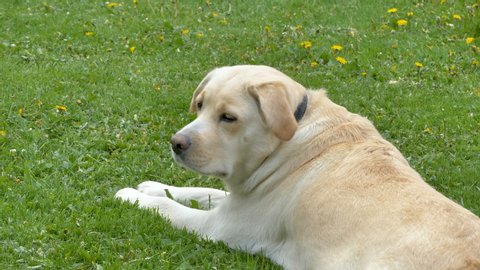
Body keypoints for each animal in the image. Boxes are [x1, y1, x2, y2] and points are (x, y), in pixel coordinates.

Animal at [116, 65, 480, 270]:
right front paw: (152, 186)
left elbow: (169, 208)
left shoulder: (221, 226)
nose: (176, 143)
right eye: (201, 105)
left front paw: (132, 196)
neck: (287, 137)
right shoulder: (241, 199)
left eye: (228, 118)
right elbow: (201, 190)